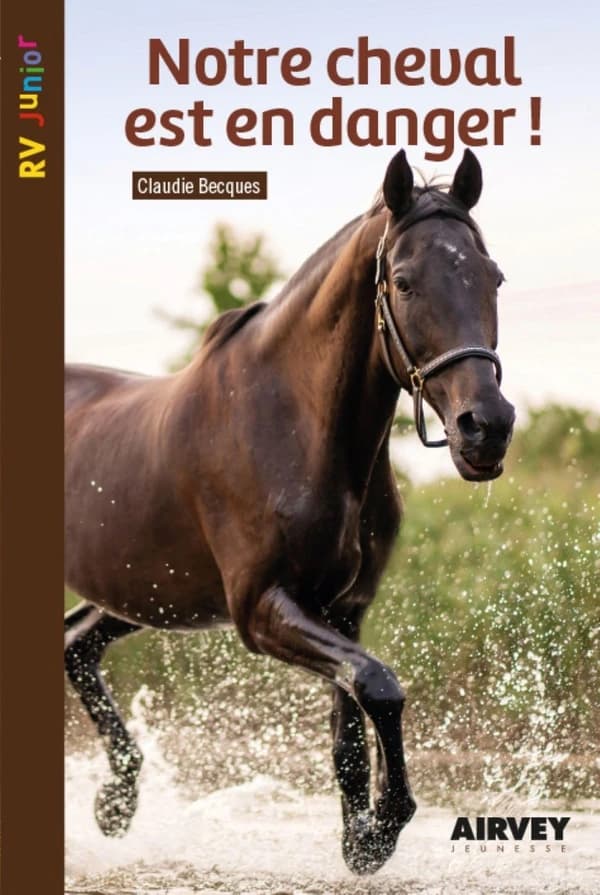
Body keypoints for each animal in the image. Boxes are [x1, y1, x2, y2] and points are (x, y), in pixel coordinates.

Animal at [64, 148, 515, 875]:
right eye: (405, 282)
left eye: (491, 276)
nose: (487, 429)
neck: (299, 428)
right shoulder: (260, 608)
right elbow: (380, 687)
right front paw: (382, 825)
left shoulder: (343, 609)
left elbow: (354, 722)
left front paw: (362, 836)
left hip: (146, 593)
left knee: (76, 644)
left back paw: (116, 802)